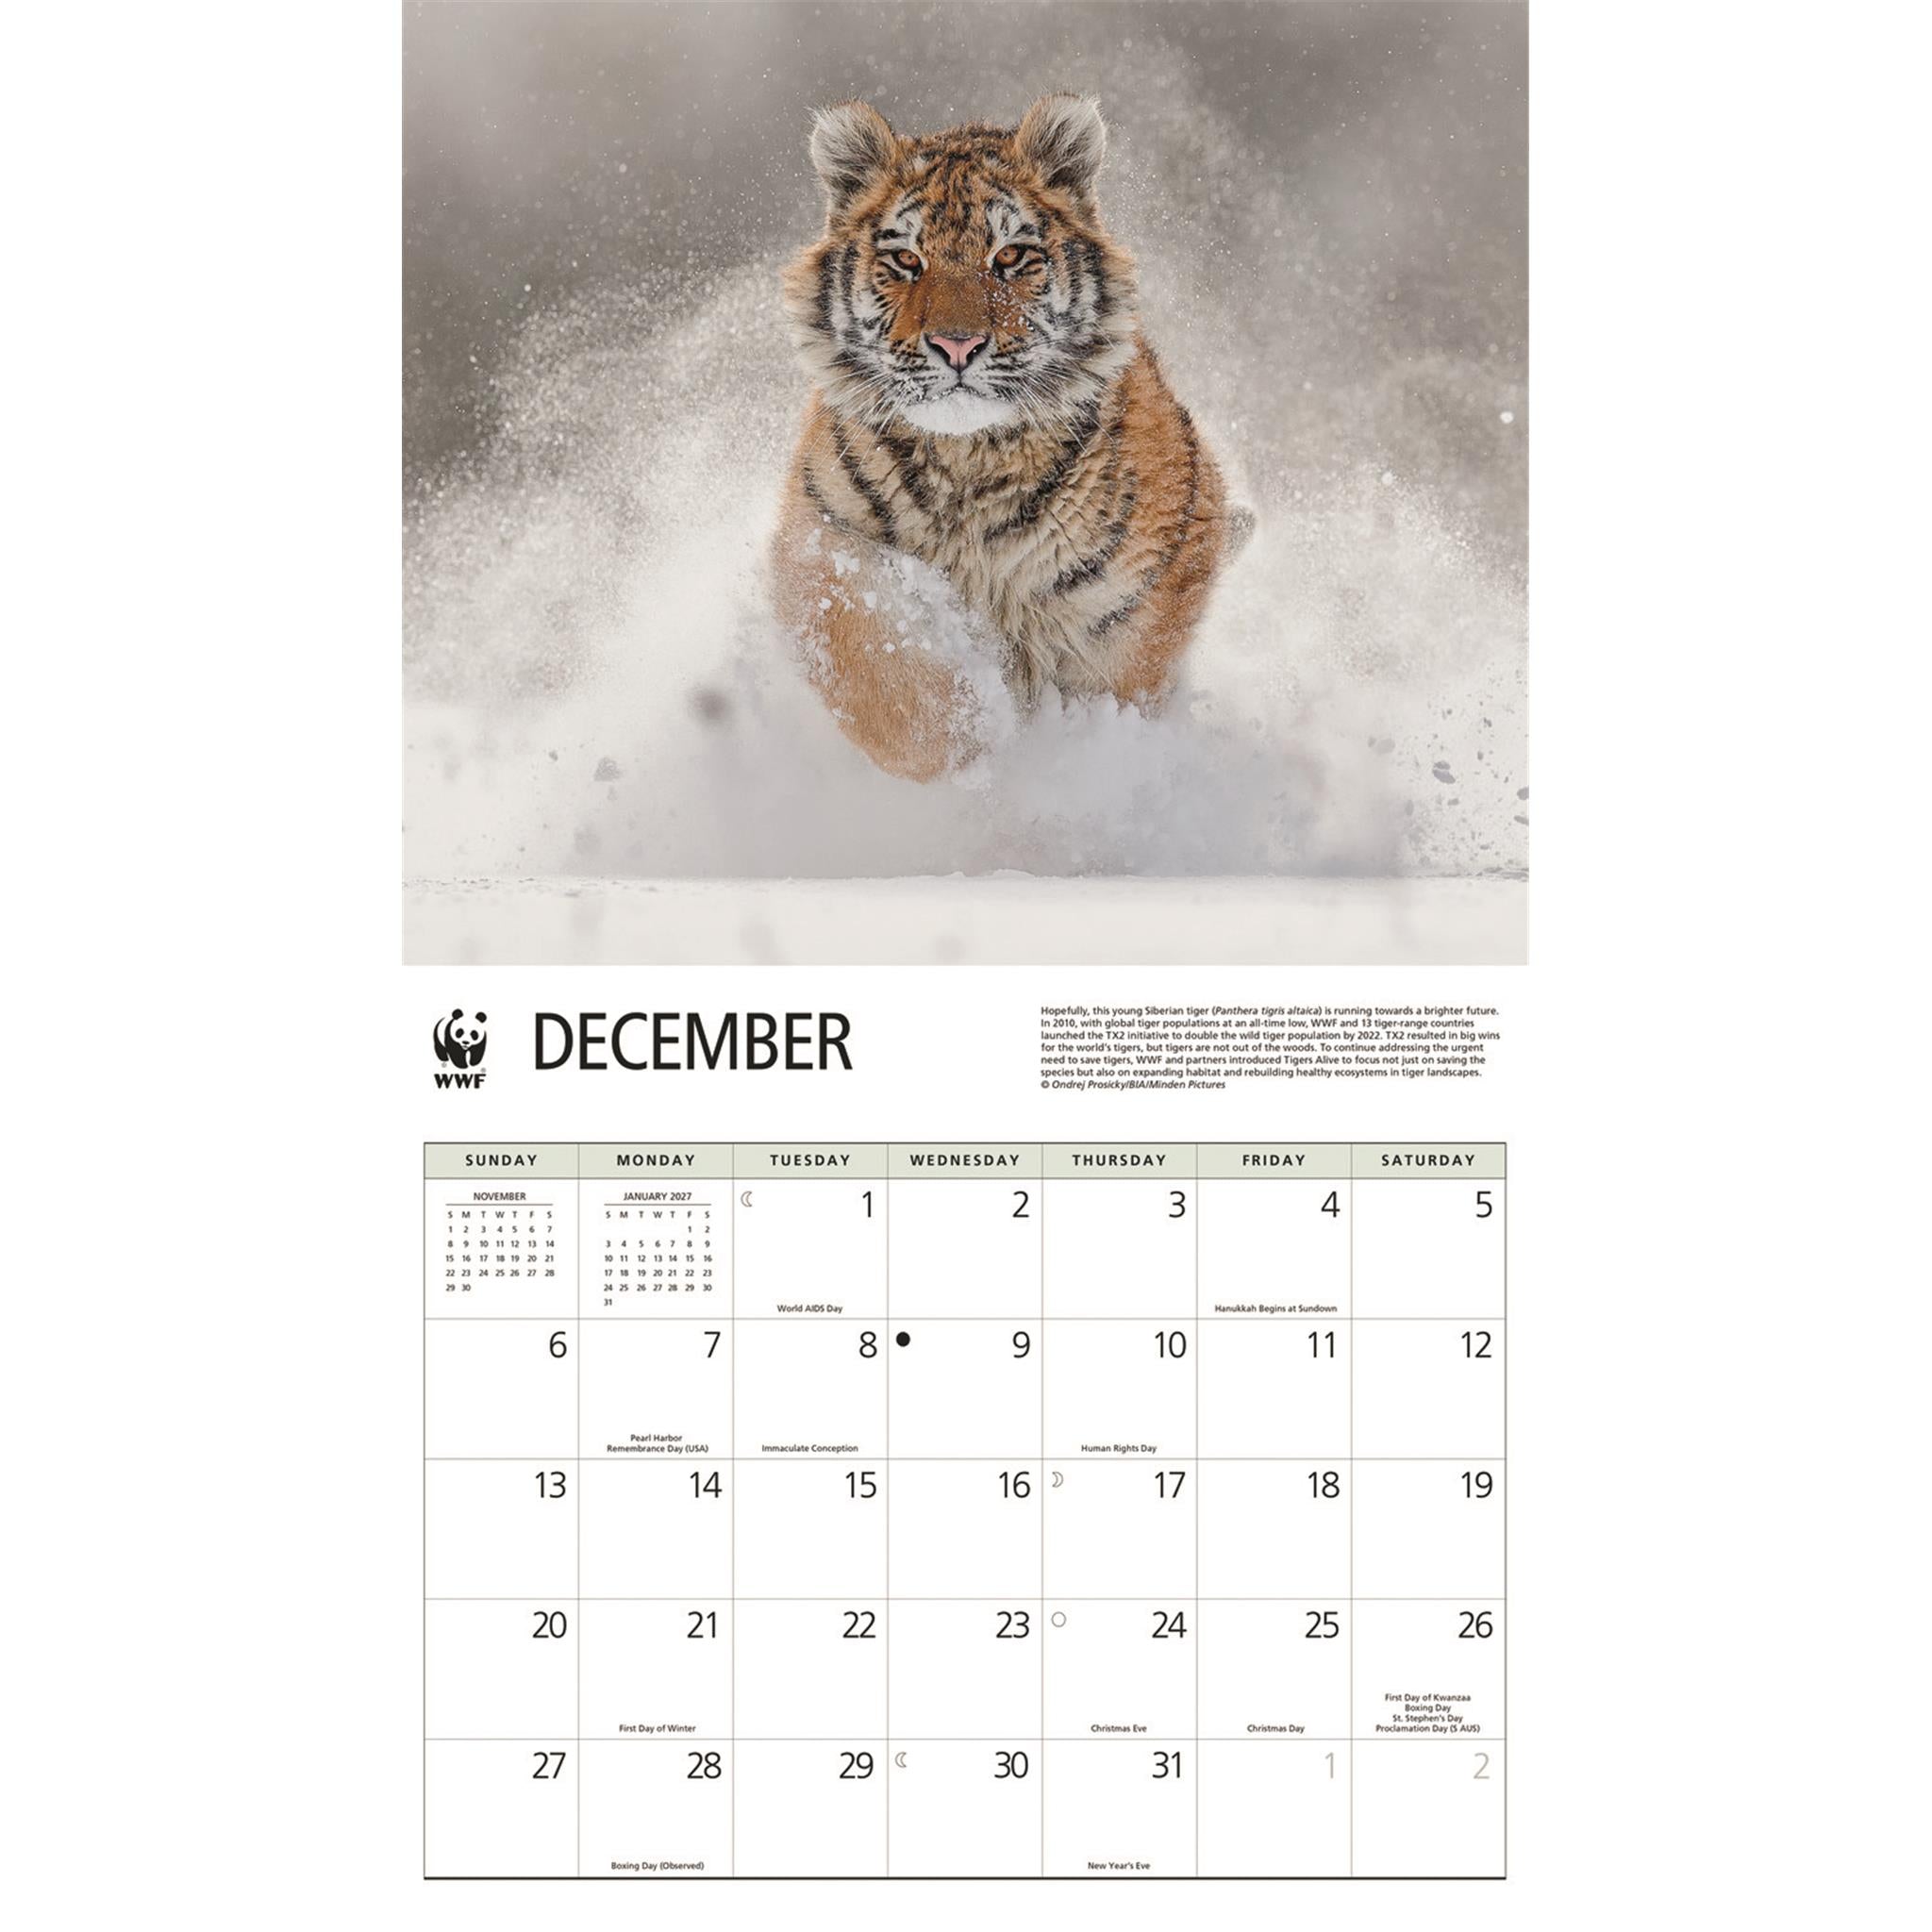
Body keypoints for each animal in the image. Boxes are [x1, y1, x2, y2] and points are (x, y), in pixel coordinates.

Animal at [772, 92, 1249, 782]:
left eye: (1008, 258)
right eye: (906, 260)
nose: (957, 345)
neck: (969, 462)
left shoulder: (1136, 606)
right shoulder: (818, 541)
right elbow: (876, 664)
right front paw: (969, 740)